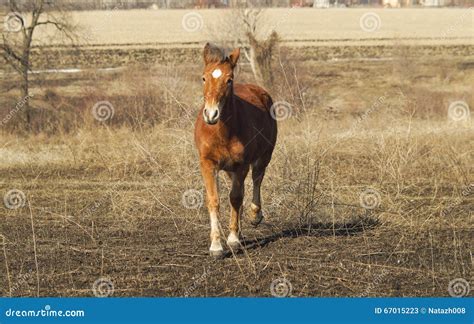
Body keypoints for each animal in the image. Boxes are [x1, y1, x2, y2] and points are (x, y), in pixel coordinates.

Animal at [194, 44, 278, 258]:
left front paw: (232, 240)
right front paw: (216, 246)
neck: (222, 131)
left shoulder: (241, 164)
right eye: (204, 77)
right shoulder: (207, 164)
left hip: (263, 157)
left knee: (256, 180)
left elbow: (235, 198)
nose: (211, 114)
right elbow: (214, 200)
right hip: (229, 169)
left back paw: (255, 216)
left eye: (229, 79)